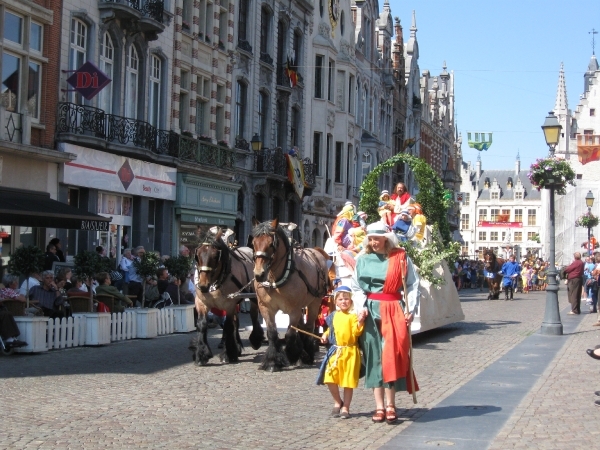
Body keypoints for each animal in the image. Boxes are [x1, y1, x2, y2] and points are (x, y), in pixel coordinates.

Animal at [188, 229, 262, 366]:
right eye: (198, 255)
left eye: (215, 256)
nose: (203, 285)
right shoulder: (201, 302)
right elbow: (202, 324)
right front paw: (201, 354)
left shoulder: (229, 304)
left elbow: (228, 326)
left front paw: (228, 354)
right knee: (236, 322)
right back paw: (237, 347)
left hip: (253, 296)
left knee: (253, 315)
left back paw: (256, 339)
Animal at [251, 216, 330, 370]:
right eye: (253, 243)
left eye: (271, 244)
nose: (259, 274)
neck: (275, 279)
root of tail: (316, 251)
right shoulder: (265, 308)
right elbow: (272, 333)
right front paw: (272, 361)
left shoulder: (294, 310)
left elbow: (290, 335)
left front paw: (293, 354)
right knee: (303, 327)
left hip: (314, 302)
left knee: (309, 327)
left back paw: (307, 353)